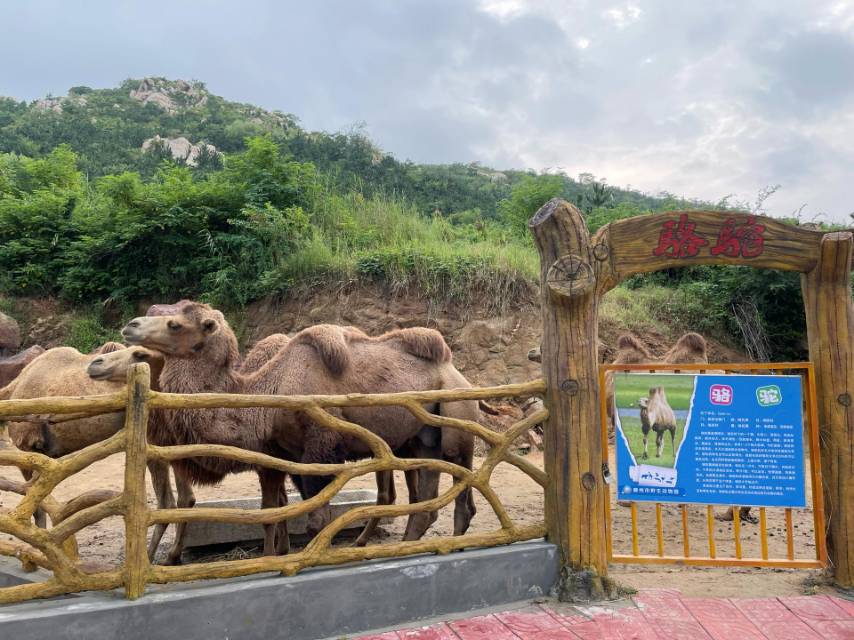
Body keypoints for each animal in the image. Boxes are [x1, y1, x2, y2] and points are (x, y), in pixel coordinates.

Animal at [121, 304, 482, 560]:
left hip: (457, 424)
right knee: (428, 504)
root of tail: (457, 372)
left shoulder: (320, 450)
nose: (130, 325)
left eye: (175, 324)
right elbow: (284, 511)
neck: (269, 393)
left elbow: (314, 520)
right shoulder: (291, 458)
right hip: (423, 439)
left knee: (461, 488)